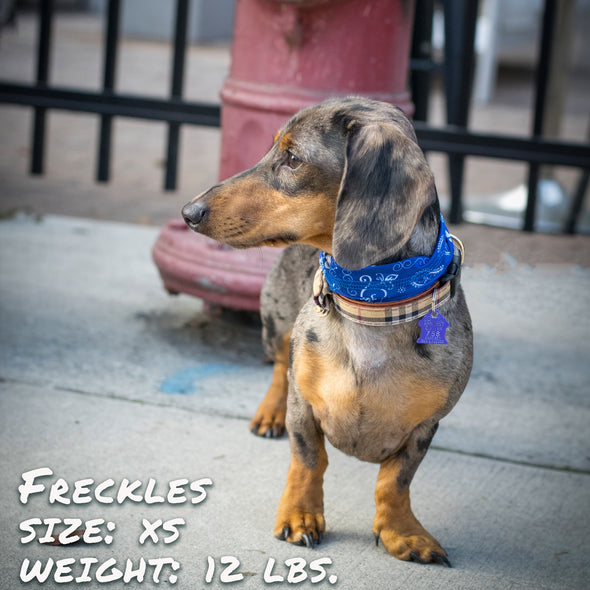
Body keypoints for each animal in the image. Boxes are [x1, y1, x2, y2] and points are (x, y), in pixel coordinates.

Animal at [183, 99, 474, 568]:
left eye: (293, 158)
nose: (188, 213)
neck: (374, 303)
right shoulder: (305, 405)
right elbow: (309, 460)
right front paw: (300, 516)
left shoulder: (425, 426)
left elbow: (395, 481)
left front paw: (403, 532)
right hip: (276, 325)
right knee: (278, 365)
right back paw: (269, 413)